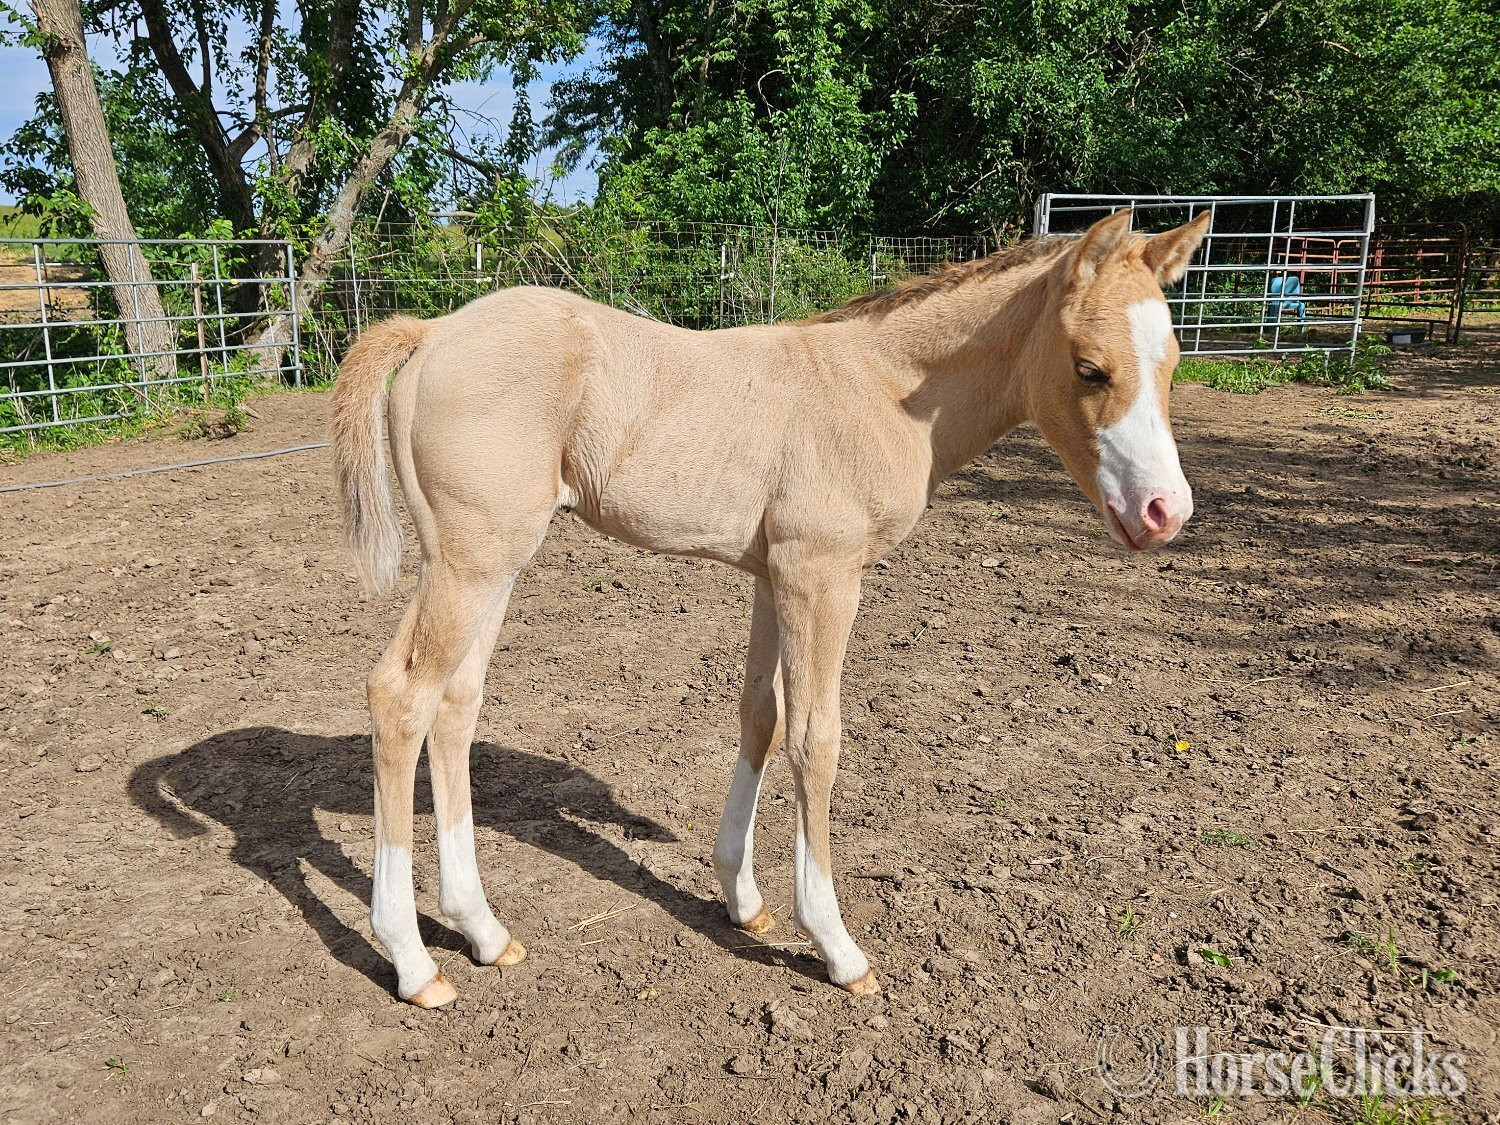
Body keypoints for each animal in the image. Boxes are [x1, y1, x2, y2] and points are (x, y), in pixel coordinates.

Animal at [330, 208, 1210, 1007]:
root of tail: (433, 330)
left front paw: (744, 900)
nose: (1166, 511)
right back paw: (413, 962)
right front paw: (836, 944)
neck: (882, 388)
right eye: (1090, 368)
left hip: (496, 561)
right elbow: (818, 738)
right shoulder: (822, 576)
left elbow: (762, 714)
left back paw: (482, 929)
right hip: (471, 561)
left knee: (456, 703)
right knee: (402, 695)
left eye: (1170, 362)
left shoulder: (770, 574)